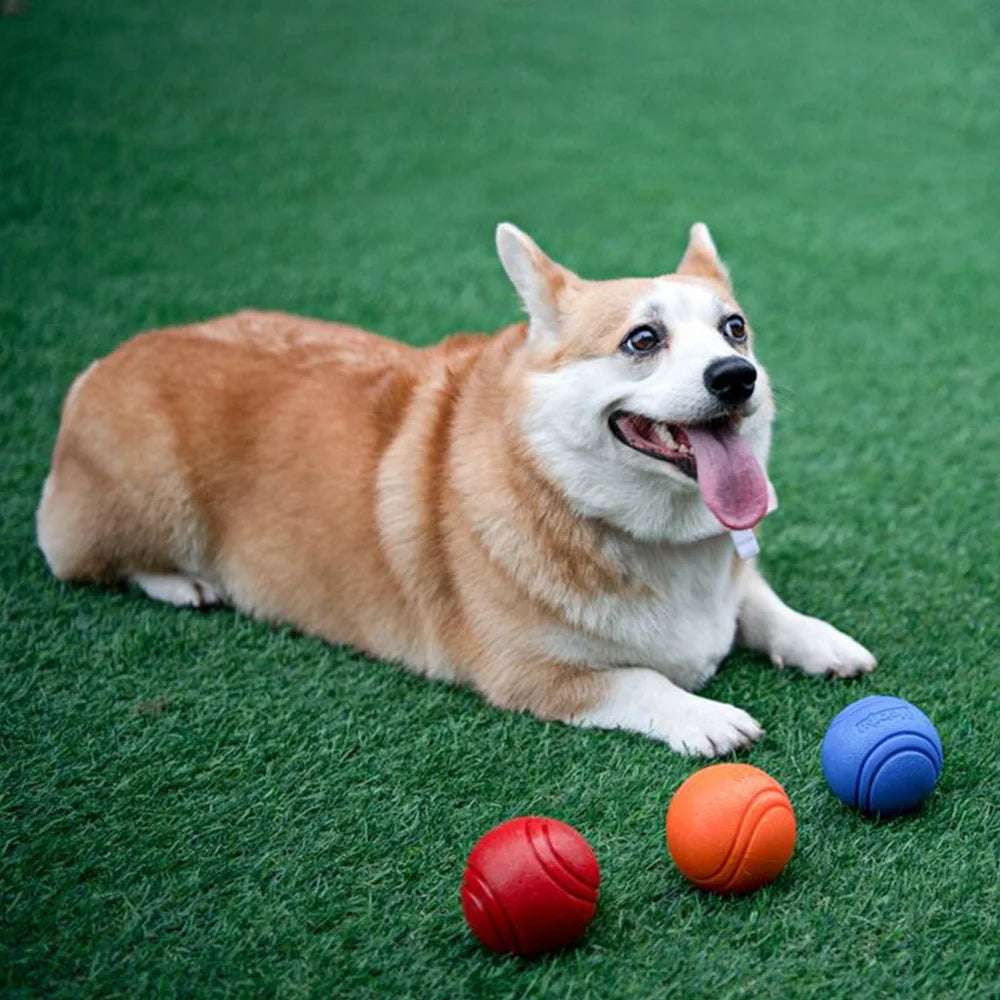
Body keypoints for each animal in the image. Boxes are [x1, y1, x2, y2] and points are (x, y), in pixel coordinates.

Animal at [35, 227, 872, 752]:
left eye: (735, 329)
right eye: (643, 340)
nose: (738, 377)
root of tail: (105, 361)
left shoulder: (733, 579)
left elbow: (759, 603)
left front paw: (822, 640)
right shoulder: (527, 673)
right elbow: (638, 681)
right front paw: (708, 716)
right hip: (146, 504)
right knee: (86, 559)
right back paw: (183, 584)